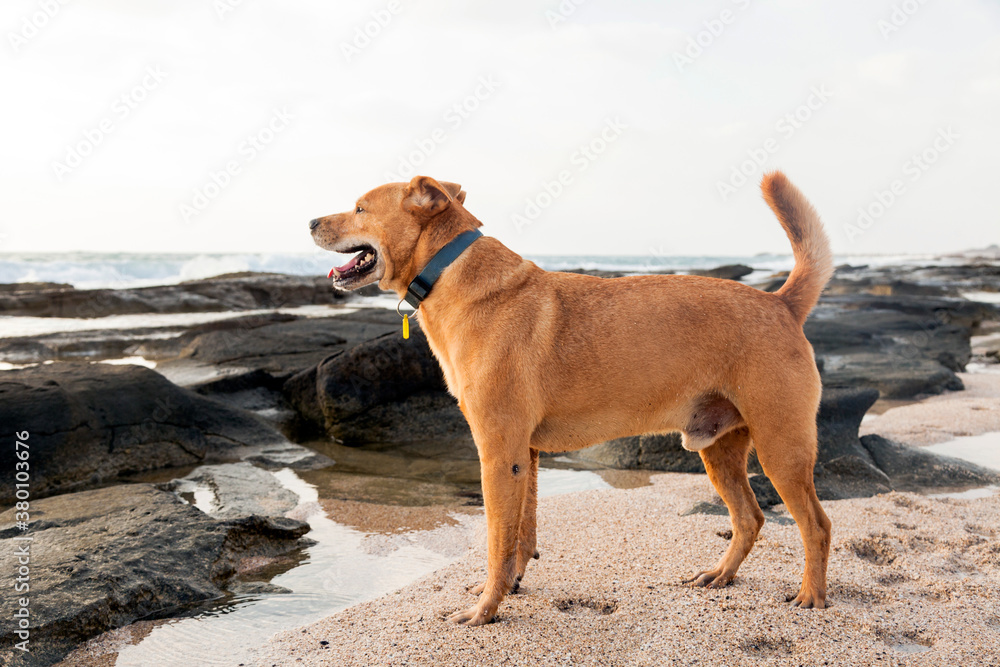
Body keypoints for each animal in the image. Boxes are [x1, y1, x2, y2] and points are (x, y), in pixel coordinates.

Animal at [308, 171, 832, 628]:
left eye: (359, 208)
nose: (310, 222)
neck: (448, 270)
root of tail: (780, 302)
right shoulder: (525, 454)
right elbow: (522, 534)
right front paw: (510, 588)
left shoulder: (498, 455)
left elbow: (497, 541)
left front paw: (485, 610)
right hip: (717, 448)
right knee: (750, 518)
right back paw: (722, 574)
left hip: (780, 448)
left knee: (816, 524)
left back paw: (811, 596)